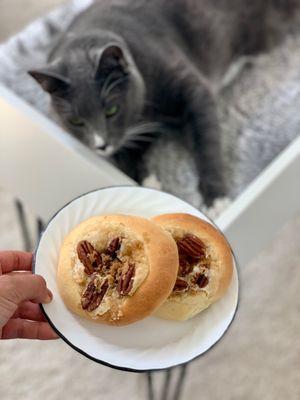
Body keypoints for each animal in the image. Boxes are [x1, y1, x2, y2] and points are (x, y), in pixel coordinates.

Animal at [28, 0, 300, 205]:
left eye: (111, 110)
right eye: (75, 121)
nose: (100, 145)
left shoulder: (192, 88)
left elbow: (206, 139)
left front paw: (216, 200)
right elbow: (123, 159)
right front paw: (145, 182)